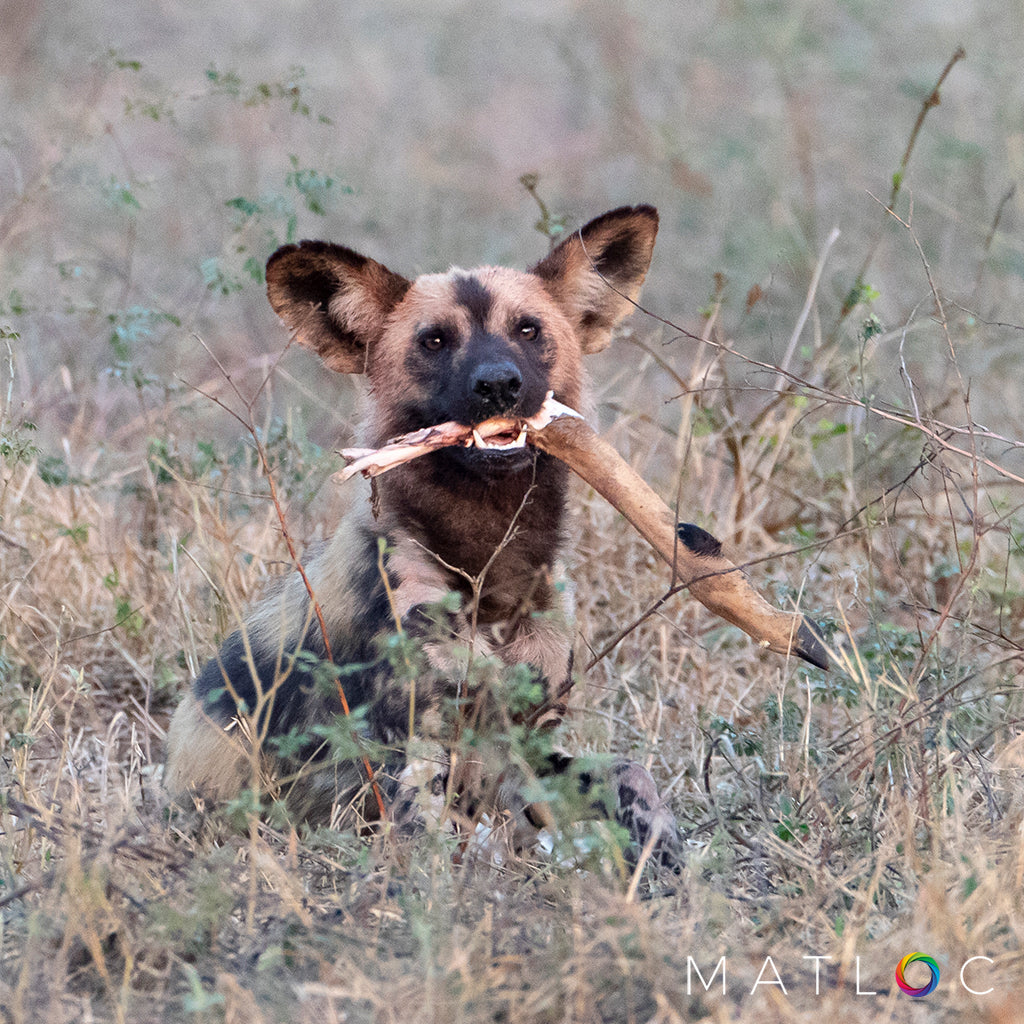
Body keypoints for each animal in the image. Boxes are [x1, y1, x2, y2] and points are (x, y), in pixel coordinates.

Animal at [163, 205, 684, 864]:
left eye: (529, 330)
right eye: (434, 341)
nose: (498, 383)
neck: (492, 567)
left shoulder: (525, 747)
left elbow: (628, 772)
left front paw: (667, 857)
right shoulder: (414, 766)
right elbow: (447, 860)